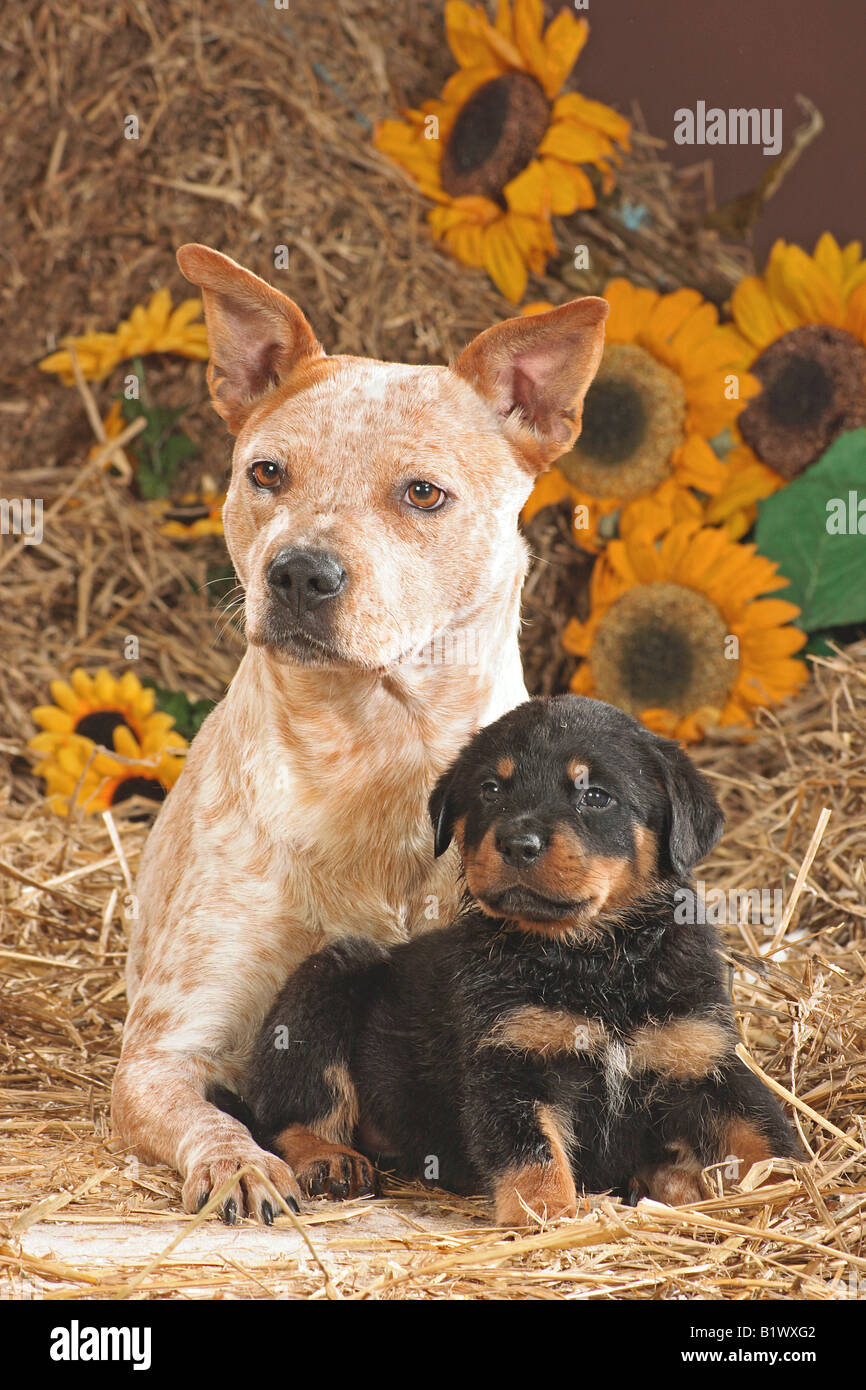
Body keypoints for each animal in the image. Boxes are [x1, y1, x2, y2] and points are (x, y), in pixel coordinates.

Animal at [247, 700, 800, 1223]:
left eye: (595, 796)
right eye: (491, 789)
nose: (517, 843)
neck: (596, 960)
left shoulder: (704, 1057)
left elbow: (762, 1130)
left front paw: (798, 1189)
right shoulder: (512, 1061)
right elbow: (533, 1152)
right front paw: (548, 1214)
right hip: (332, 975)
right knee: (288, 1112)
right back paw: (330, 1159)